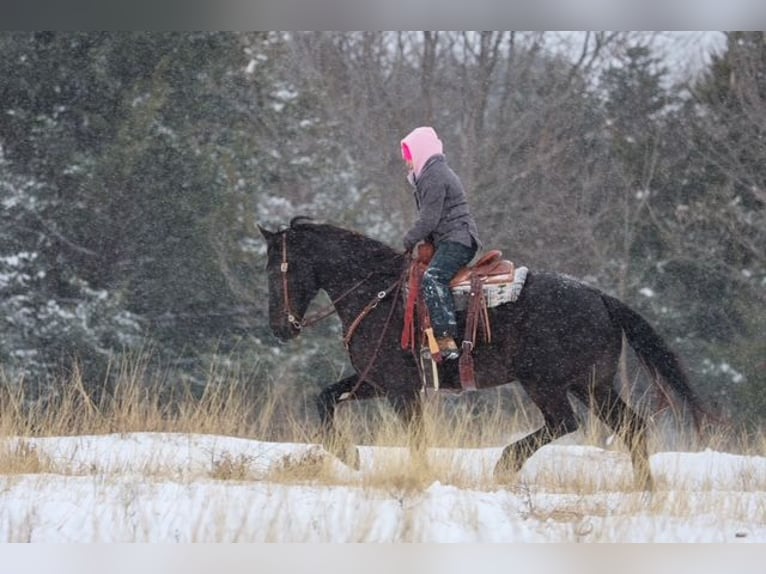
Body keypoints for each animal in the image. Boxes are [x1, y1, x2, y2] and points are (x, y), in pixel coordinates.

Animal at [258, 217, 706, 490]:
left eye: (276, 270)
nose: (280, 327)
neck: (377, 291)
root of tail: (600, 297)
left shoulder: (400, 387)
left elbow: (416, 438)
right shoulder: (376, 380)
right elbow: (325, 398)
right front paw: (349, 454)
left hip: (546, 383)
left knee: (564, 423)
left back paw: (506, 463)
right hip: (592, 385)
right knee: (632, 427)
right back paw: (644, 490)